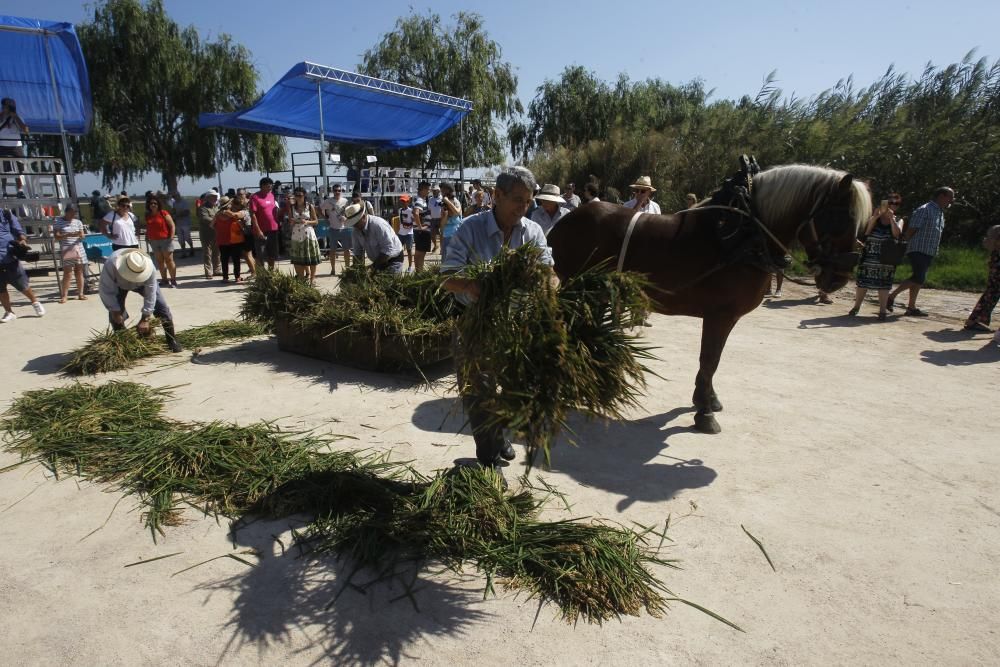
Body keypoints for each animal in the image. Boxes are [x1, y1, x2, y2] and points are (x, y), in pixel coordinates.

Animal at [552, 165, 872, 436]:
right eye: (841, 218)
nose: (840, 276)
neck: (743, 237)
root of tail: (565, 222)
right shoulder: (720, 314)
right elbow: (710, 359)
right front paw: (704, 412)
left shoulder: (727, 317)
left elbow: (713, 361)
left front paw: (706, 399)